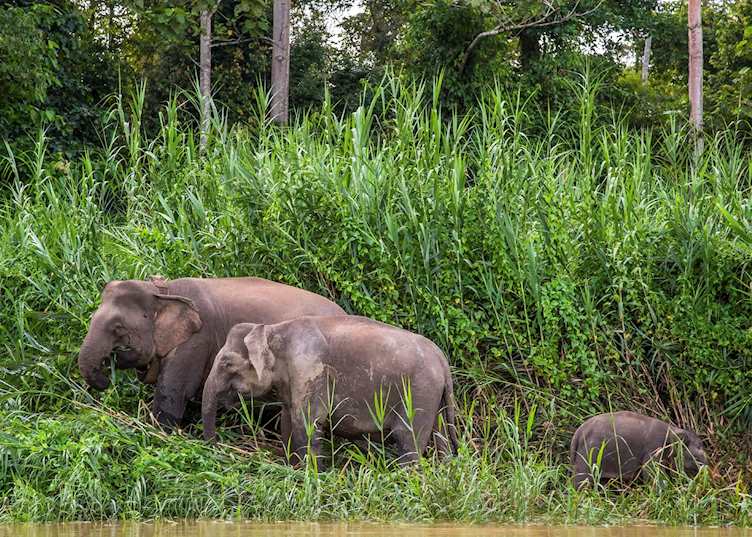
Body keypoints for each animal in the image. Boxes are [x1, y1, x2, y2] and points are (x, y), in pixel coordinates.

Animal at [201, 315, 458, 467]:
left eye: (226, 363)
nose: (217, 448)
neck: (274, 329)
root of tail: (442, 360)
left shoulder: (310, 369)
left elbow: (306, 424)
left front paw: (311, 475)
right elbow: (288, 421)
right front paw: (293, 468)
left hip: (419, 392)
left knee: (408, 441)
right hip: (435, 397)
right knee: (441, 439)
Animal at [570, 411, 707, 488]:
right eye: (697, 453)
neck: (673, 429)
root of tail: (578, 433)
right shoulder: (653, 447)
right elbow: (652, 474)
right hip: (589, 452)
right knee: (582, 480)